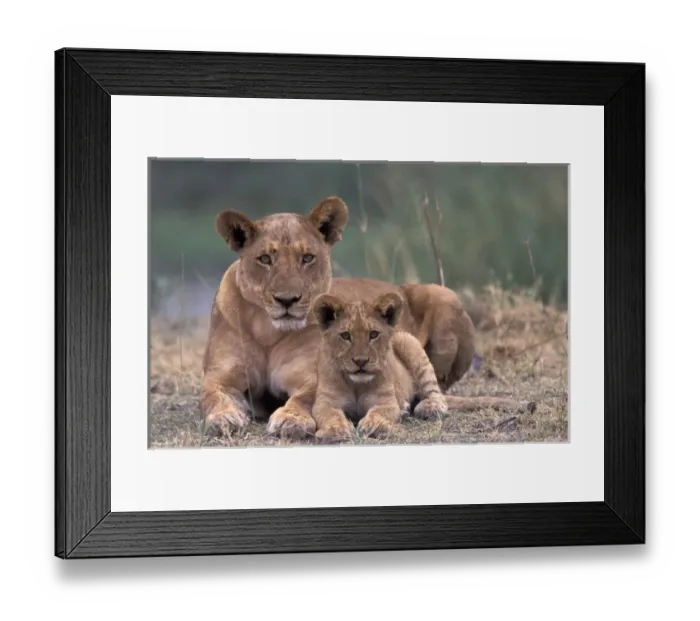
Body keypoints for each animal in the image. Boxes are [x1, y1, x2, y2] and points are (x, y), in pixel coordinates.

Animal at [199, 196, 496, 440]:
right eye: (264, 259)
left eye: (307, 258)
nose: (287, 300)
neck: (268, 332)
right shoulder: (220, 377)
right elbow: (212, 396)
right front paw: (223, 418)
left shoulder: (314, 377)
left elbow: (305, 397)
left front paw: (291, 419)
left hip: (444, 296)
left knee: (435, 387)